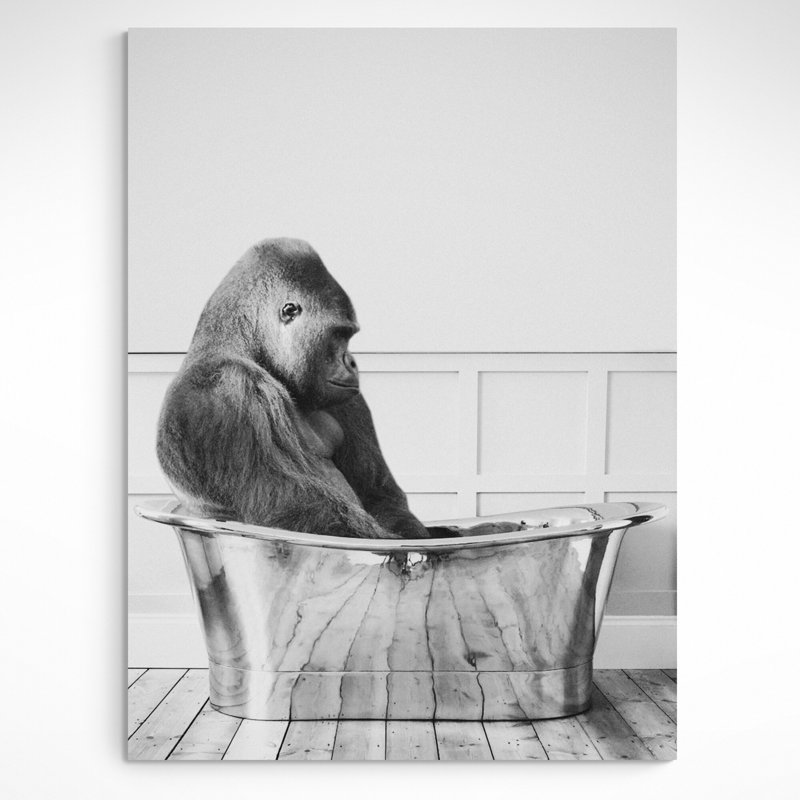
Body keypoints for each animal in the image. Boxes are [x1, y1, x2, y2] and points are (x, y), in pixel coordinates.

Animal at [157, 238, 523, 539]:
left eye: (350, 335)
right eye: (340, 334)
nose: (353, 362)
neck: (242, 345)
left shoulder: (347, 399)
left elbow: (378, 495)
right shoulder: (225, 393)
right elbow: (293, 507)